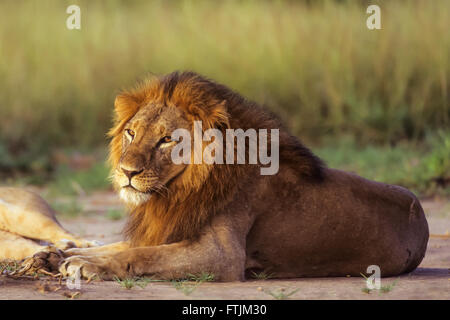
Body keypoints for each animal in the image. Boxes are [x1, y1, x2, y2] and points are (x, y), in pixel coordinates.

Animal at [0, 70, 428, 280]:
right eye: (131, 133)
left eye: (167, 140)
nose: (126, 172)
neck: (175, 193)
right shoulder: (167, 229)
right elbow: (115, 246)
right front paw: (53, 256)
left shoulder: (222, 256)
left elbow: (141, 254)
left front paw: (86, 266)